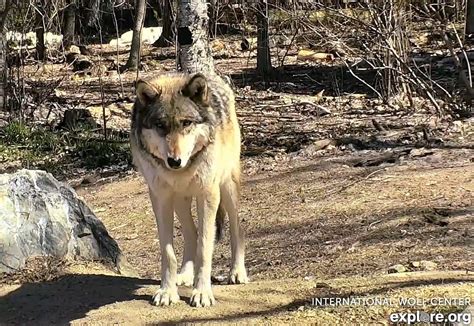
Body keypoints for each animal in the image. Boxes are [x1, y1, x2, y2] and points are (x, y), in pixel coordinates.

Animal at [130, 72, 248, 306]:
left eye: (186, 123)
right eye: (160, 125)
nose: (174, 161)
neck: (181, 171)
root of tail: (213, 76)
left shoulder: (208, 194)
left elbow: (204, 248)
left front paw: (202, 293)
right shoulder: (160, 198)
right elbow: (168, 252)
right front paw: (167, 291)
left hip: (227, 187)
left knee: (237, 229)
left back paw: (237, 272)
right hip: (180, 200)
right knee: (191, 232)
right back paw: (184, 274)